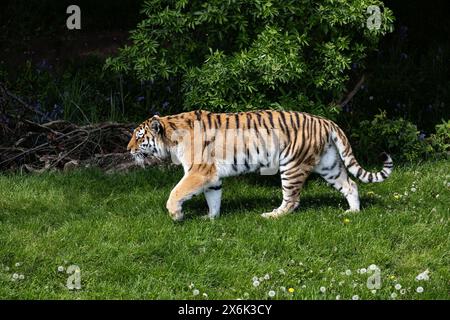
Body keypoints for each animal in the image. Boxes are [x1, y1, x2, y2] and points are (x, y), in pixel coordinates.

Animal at [127, 110, 394, 220]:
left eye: (139, 137)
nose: (128, 149)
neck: (172, 135)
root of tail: (326, 121)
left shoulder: (199, 171)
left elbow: (176, 192)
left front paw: (176, 214)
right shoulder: (212, 176)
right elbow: (213, 198)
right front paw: (210, 218)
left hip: (291, 166)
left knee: (292, 200)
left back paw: (271, 216)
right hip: (329, 165)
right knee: (351, 185)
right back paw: (353, 212)